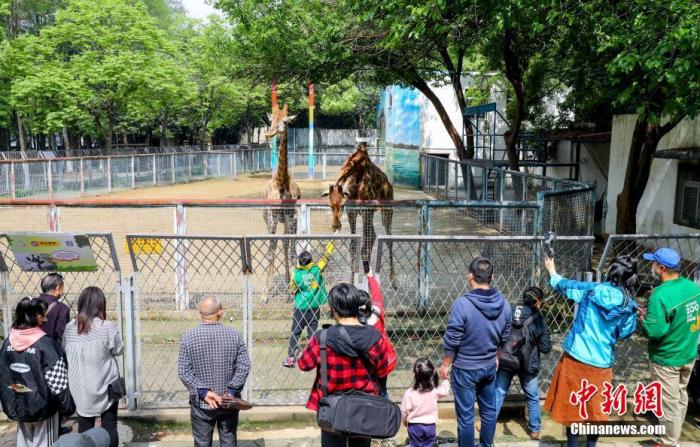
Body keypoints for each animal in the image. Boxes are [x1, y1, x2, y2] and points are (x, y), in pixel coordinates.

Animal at [322, 143, 394, 284]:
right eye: (329, 205)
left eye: (342, 205)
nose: (336, 226)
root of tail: (389, 184)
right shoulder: (352, 212)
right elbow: (353, 246)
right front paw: (351, 281)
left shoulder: (366, 210)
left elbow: (364, 247)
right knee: (373, 235)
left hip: (386, 210)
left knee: (388, 240)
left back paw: (393, 279)